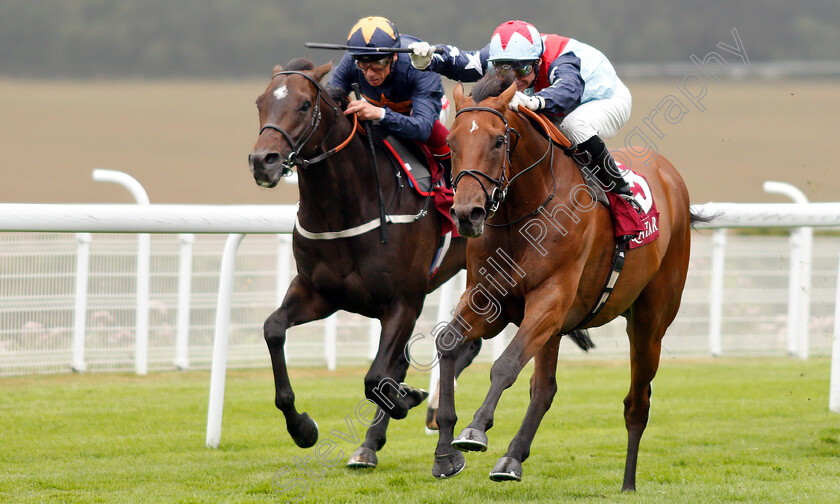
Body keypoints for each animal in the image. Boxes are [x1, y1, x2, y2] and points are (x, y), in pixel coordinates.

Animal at [246, 58, 480, 468]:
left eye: (304, 105)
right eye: (261, 103)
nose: (263, 162)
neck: (346, 207)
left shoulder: (403, 302)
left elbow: (375, 378)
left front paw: (407, 399)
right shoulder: (318, 294)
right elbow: (273, 329)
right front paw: (302, 428)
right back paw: (372, 442)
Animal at [434, 79, 696, 492]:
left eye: (498, 140)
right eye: (451, 142)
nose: (466, 214)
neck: (521, 213)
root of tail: (671, 177)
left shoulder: (550, 299)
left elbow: (506, 365)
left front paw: (475, 430)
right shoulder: (488, 299)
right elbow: (448, 343)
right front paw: (446, 453)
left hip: (650, 322)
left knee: (637, 403)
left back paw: (628, 483)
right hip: (560, 328)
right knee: (544, 389)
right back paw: (512, 459)